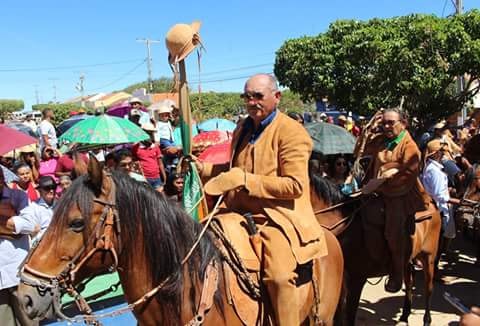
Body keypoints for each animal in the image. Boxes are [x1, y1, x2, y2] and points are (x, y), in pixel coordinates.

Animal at [310, 176, 440, 326]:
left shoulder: (356, 279)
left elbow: (349, 315)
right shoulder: (340, 279)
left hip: (429, 257)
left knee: (428, 288)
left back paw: (427, 320)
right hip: (407, 260)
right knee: (409, 283)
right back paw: (404, 315)